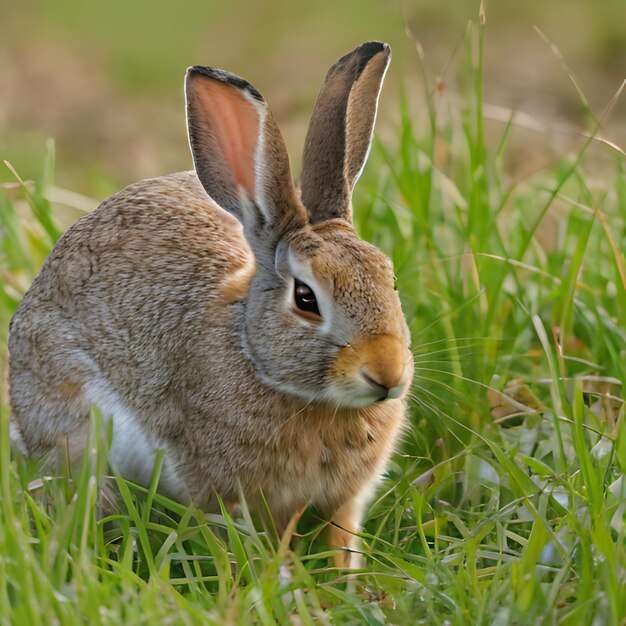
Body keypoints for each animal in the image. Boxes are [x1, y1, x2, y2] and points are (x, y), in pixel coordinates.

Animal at [8, 40, 414, 564]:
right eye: (306, 298)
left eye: (391, 279)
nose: (387, 374)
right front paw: (273, 578)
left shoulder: (345, 499)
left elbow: (341, 540)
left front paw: (347, 578)